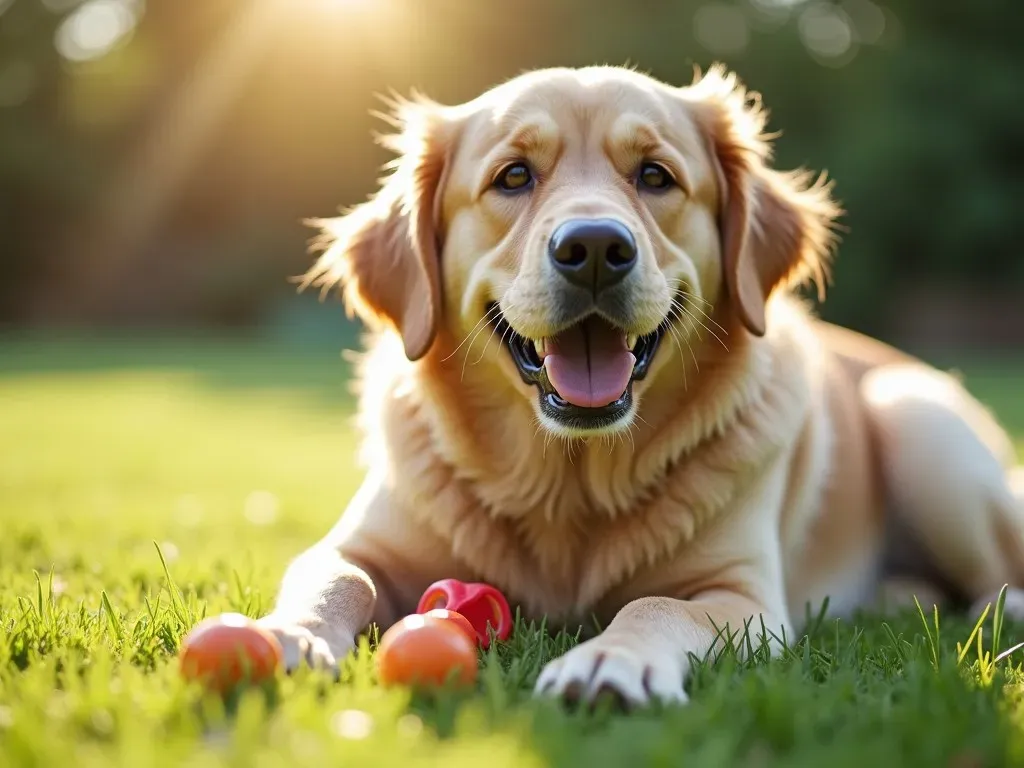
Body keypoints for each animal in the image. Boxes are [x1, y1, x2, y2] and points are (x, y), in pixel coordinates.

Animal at [253, 66, 1024, 708]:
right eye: (513, 176)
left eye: (655, 176)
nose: (594, 247)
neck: (569, 484)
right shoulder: (357, 546)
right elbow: (336, 578)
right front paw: (291, 634)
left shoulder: (742, 595)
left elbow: (652, 606)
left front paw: (608, 662)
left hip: (920, 423)